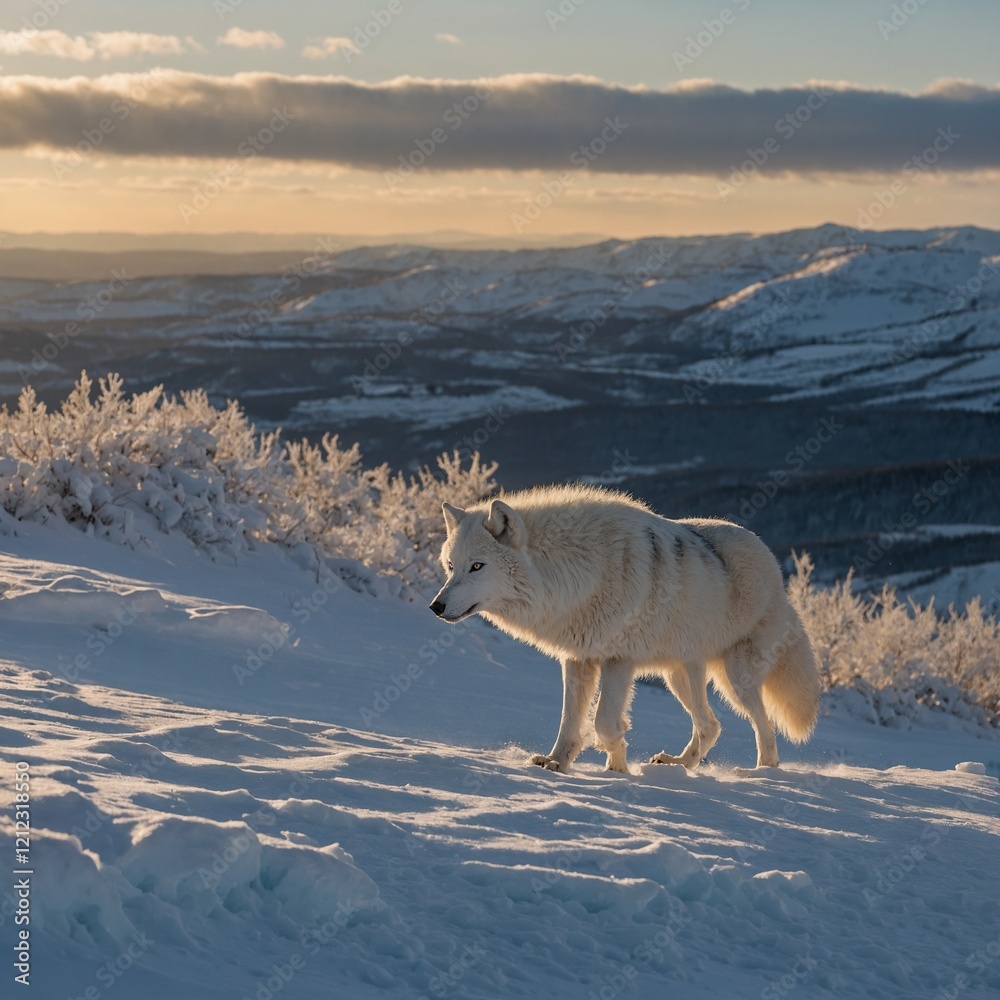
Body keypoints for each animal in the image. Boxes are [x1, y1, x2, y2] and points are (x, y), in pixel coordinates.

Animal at [429, 484, 821, 774]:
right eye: (450, 566)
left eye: (477, 566)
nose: (436, 606)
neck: (575, 570)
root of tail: (773, 565)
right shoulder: (578, 659)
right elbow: (569, 721)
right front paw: (558, 762)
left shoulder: (620, 660)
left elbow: (604, 721)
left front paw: (617, 766)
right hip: (678, 676)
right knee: (710, 725)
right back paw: (678, 764)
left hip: (735, 678)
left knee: (763, 726)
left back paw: (761, 773)